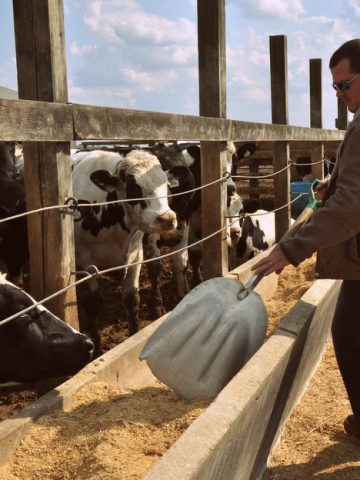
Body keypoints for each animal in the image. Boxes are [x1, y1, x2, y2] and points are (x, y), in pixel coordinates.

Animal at [71, 148, 177, 340]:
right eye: (134, 187)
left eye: (166, 185)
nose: (167, 219)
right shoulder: (85, 263)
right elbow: (93, 304)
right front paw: (96, 344)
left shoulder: (136, 255)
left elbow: (131, 299)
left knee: (154, 268)